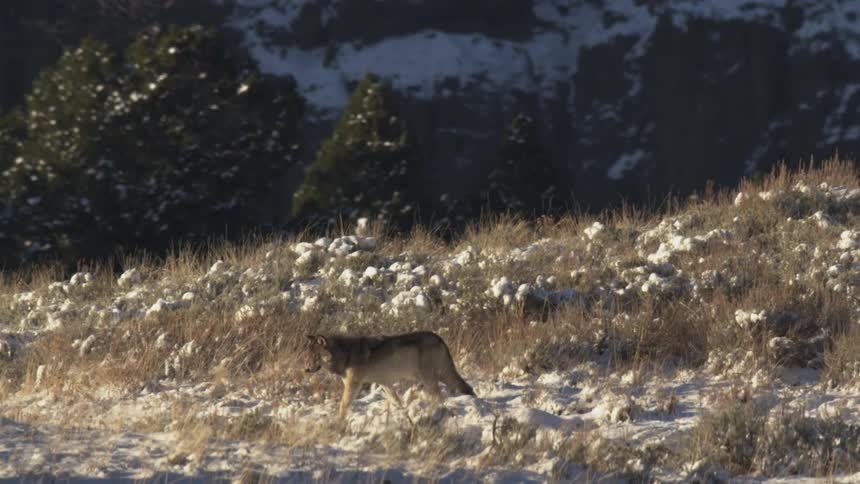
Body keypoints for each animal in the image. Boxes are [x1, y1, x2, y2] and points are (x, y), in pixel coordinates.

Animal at [304, 331, 475, 419]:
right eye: (308, 355)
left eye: (315, 356)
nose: (306, 369)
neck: (345, 354)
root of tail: (439, 338)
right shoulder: (384, 383)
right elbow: (397, 401)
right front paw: (403, 413)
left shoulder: (354, 385)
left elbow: (343, 404)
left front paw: (338, 420)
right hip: (437, 377)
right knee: (464, 388)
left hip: (430, 379)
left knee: (440, 397)